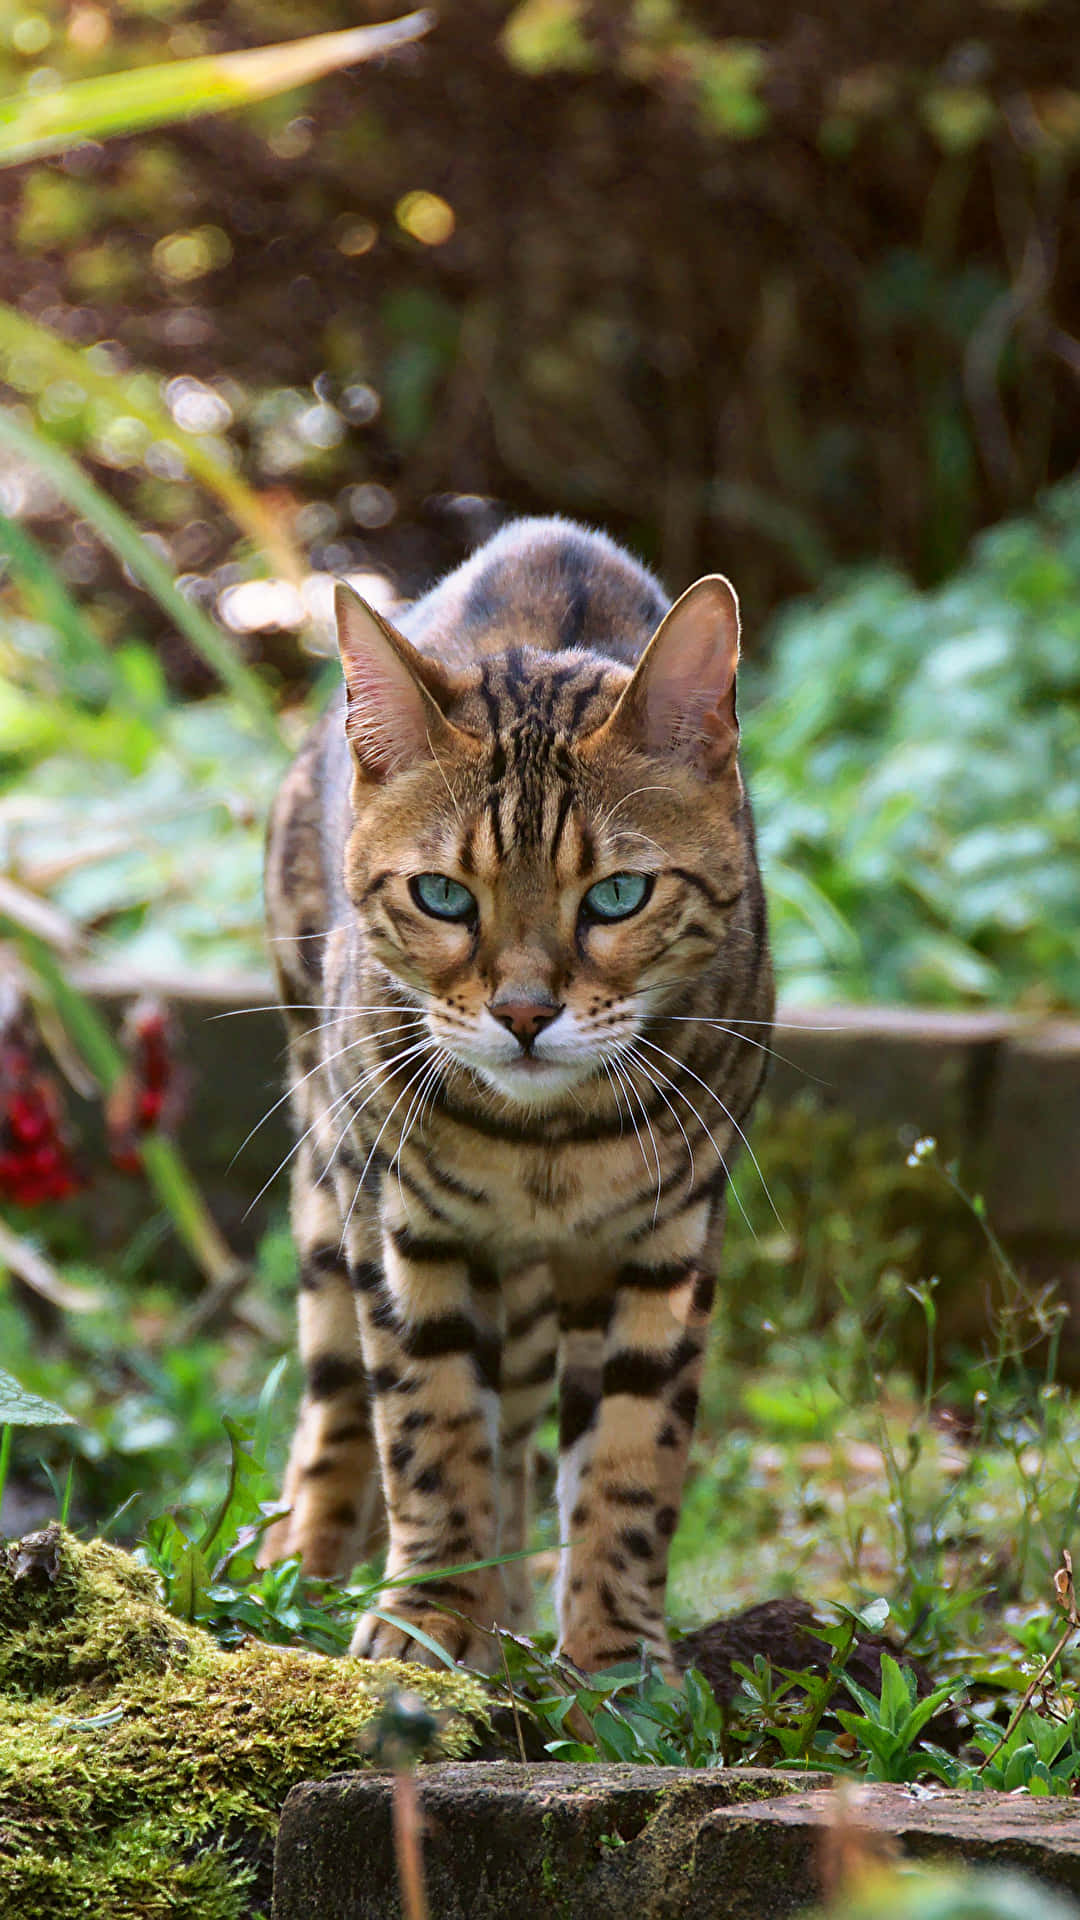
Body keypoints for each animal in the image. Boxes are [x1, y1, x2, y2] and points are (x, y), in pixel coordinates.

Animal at [257, 518, 768, 1674]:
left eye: (618, 893)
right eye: (442, 895)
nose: (526, 1014)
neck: (548, 1146)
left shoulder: (669, 1234)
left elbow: (632, 1451)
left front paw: (616, 1653)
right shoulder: (405, 1224)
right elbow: (432, 1425)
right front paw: (428, 1617)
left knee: (528, 1419)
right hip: (325, 1159)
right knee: (337, 1398)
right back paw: (302, 1564)